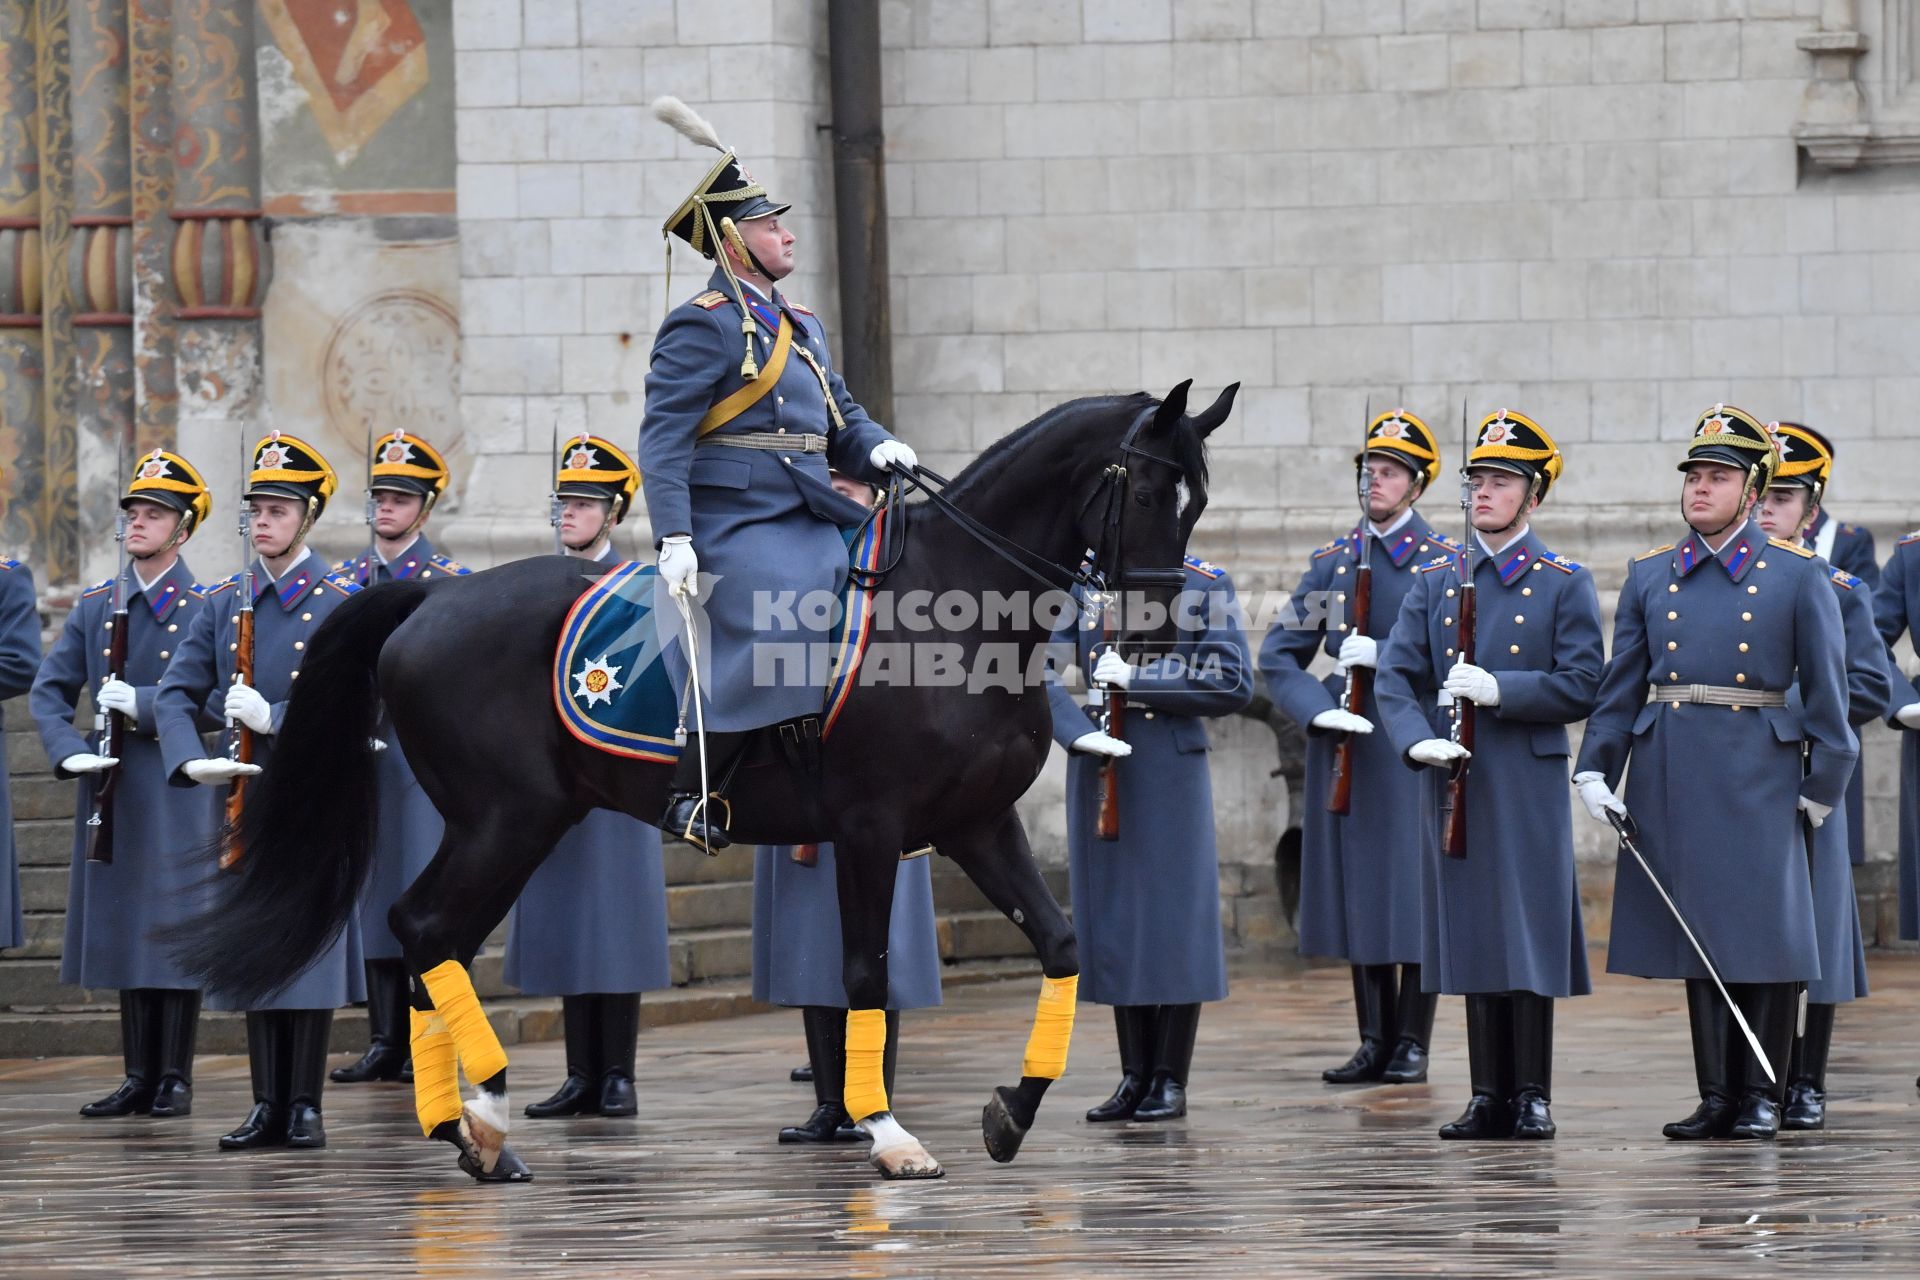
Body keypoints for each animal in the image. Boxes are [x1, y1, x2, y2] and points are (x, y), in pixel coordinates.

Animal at [172, 379, 1236, 1182]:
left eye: (1198, 500)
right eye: (1149, 493)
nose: (1155, 637)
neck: (955, 607)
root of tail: (430, 597)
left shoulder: (977, 822)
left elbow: (1060, 946)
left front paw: (1012, 1107)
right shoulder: (872, 825)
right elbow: (864, 972)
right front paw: (889, 1134)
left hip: (513, 825)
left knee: (433, 935)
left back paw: (465, 1124)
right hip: (504, 820)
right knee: (424, 926)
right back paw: (481, 1114)